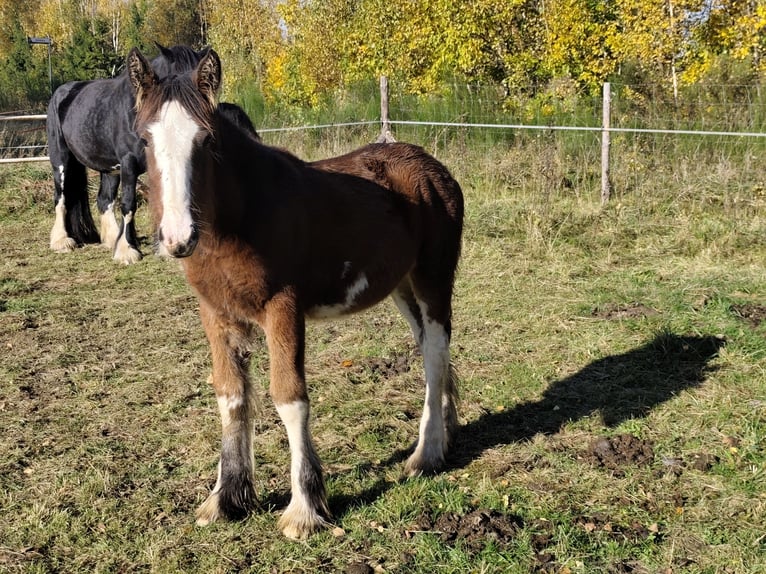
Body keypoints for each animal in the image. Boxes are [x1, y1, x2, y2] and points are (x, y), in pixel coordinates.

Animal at [46, 44, 207, 264]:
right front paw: (127, 251)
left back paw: (112, 238)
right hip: (61, 161)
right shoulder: (129, 163)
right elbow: (129, 204)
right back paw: (62, 241)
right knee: (60, 196)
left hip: (110, 169)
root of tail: (61, 93)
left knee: (104, 200)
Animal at [127, 47, 464, 539]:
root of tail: (434, 169)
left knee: (436, 352)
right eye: (146, 141)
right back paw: (444, 432)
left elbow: (289, 398)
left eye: (206, 141)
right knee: (427, 351)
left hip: (433, 279)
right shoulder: (216, 313)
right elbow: (231, 396)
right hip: (402, 287)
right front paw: (225, 498)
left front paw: (304, 509)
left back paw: (427, 455)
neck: (243, 216)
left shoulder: (282, 309)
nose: (176, 237)